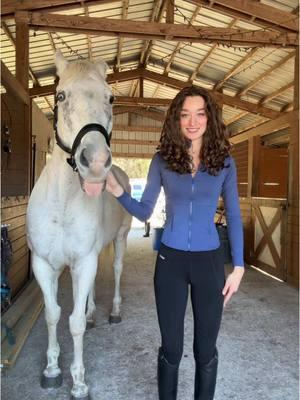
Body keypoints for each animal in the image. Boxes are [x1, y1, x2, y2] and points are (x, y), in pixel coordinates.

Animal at [26, 51, 132, 398]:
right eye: (60, 96)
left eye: (110, 98)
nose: (96, 163)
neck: (62, 203)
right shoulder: (44, 264)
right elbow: (52, 314)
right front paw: (51, 369)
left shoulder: (83, 261)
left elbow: (74, 324)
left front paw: (79, 381)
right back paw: (93, 311)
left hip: (120, 239)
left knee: (115, 272)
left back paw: (112, 312)